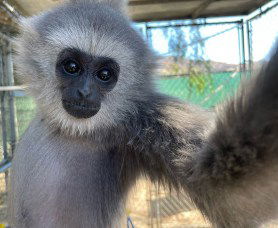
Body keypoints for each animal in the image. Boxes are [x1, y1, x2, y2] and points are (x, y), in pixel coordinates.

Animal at [8, 0, 278, 227]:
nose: (84, 92)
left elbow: (234, 196)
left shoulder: (143, 120)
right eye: (72, 67)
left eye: (104, 75)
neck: (72, 131)